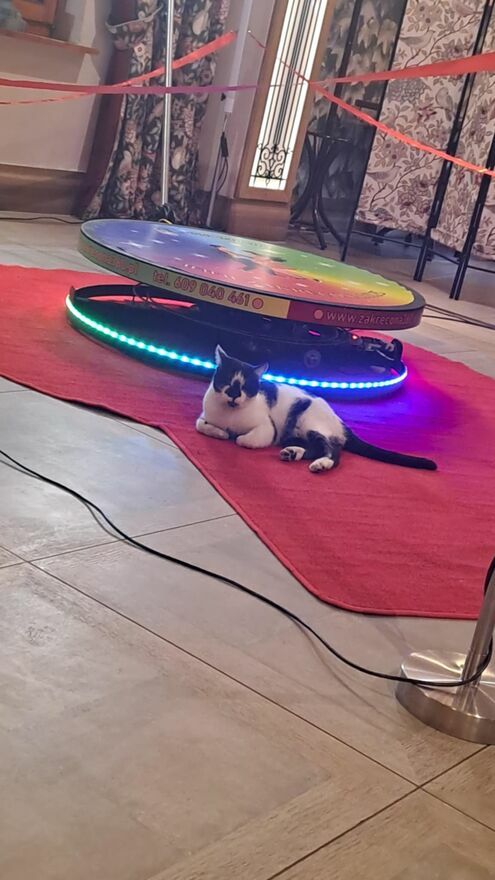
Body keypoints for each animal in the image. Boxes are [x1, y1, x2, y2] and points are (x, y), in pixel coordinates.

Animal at [196, 346, 437, 473]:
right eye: (227, 381)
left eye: (246, 387)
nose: (234, 394)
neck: (230, 414)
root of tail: (340, 422)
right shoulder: (205, 415)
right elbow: (201, 425)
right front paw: (220, 432)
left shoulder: (267, 428)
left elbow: (243, 440)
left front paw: (236, 437)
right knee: (314, 447)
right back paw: (293, 453)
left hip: (307, 420)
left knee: (333, 451)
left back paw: (321, 463)